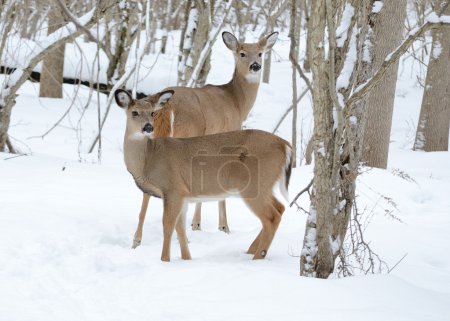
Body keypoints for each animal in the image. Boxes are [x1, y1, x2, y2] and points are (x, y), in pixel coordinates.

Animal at [116, 89, 292, 262]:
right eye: (134, 112)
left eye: (153, 113)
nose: (148, 127)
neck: (149, 159)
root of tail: (285, 145)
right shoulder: (182, 194)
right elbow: (180, 228)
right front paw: (186, 258)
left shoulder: (173, 188)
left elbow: (168, 225)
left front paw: (164, 260)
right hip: (264, 185)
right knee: (280, 208)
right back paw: (251, 251)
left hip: (253, 185)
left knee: (271, 217)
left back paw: (257, 256)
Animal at [128, 31, 280, 248]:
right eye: (242, 53)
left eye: (260, 53)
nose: (255, 66)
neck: (237, 102)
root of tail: (166, 106)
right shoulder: (228, 133)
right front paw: (220, 226)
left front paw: (197, 224)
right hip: (187, 131)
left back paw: (137, 239)